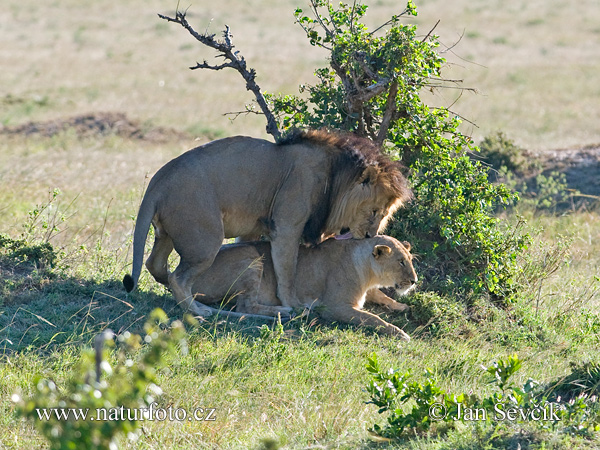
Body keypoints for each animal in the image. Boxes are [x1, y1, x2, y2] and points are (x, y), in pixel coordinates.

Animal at [122, 128, 412, 314]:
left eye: (384, 214)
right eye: (374, 211)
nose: (370, 237)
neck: (334, 177)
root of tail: (159, 179)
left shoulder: (253, 229)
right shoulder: (286, 226)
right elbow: (287, 271)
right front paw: (292, 303)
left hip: (167, 234)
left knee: (154, 264)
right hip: (205, 239)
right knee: (178, 278)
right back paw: (199, 309)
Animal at [192, 236, 418, 338]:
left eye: (410, 260)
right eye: (400, 262)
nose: (414, 281)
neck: (368, 272)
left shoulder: (366, 290)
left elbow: (381, 295)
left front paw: (402, 306)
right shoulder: (334, 307)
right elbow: (371, 318)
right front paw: (399, 332)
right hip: (253, 258)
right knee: (245, 306)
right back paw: (287, 310)